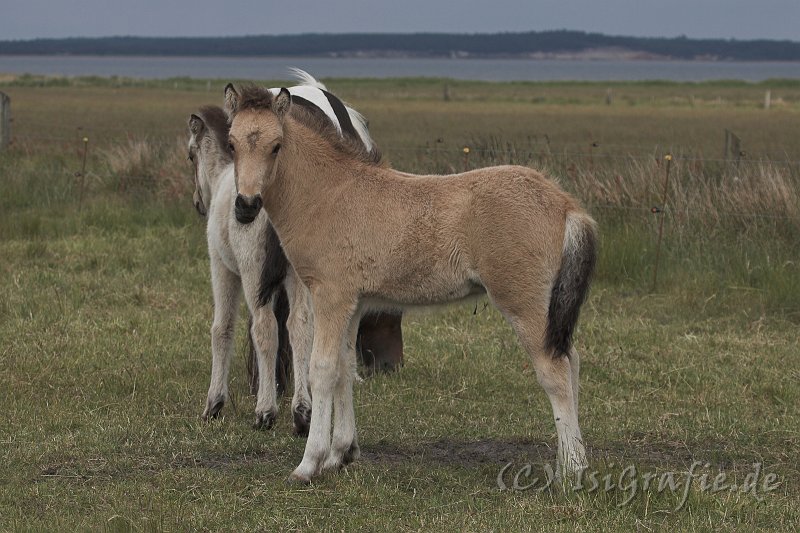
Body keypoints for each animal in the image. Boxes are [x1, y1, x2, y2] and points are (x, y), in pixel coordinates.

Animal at [222, 86, 596, 482]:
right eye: (231, 143)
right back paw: (573, 460)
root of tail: (565, 203)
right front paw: (341, 453)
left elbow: (321, 369)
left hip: (524, 302)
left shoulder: (331, 296)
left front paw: (310, 463)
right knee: (572, 361)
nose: (246, 205)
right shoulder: (354, 303)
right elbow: (345, 368)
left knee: (555, 371)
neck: (329, 194)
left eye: (276, 146)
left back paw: (572, 471)